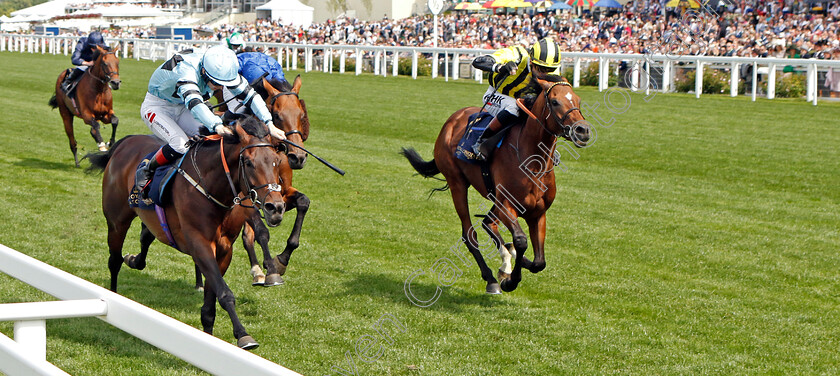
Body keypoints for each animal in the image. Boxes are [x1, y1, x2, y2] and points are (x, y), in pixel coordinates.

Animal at [87, 117, 286, 350]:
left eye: (276, 160)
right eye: (248, 162)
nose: (276, 207)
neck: (212, 187)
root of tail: (125, 143)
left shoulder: (224, 249)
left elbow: (211, 301)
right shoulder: (200, 244)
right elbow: (225, 293)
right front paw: (243, 335)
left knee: (144, 239)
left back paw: (134, 260)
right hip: (117, 221)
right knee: (115, 260)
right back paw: (114, 296)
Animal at [400, 74, 592, 294]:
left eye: (578, 101)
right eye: (554, 101)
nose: (583, 130)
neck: (534, 163)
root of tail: (452, 120)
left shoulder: (537, 213)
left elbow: (539, 262)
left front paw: (510, 263)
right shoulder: (507, 204)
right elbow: (521, 240)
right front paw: (509, 280)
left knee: (488, 222)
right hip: (457, 183)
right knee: (470, 234)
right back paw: (491, 278)